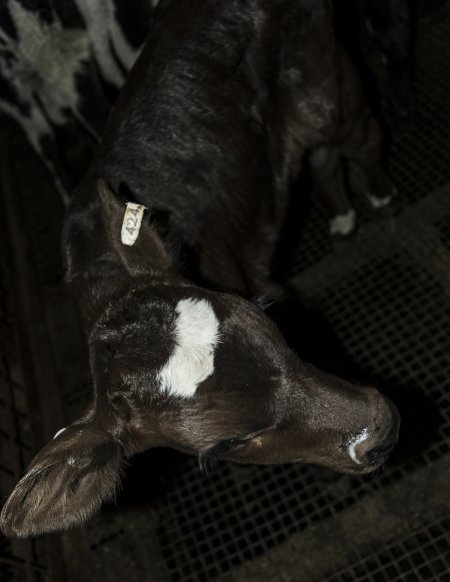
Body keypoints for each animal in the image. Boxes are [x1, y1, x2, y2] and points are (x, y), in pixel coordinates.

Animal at [1, 0, 400, 540]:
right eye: (226, 445)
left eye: (274, 331)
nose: (382, 431)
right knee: (319, 160)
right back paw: (341, 217)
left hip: (328, 84)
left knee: (360, 139)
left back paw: (379, 200)